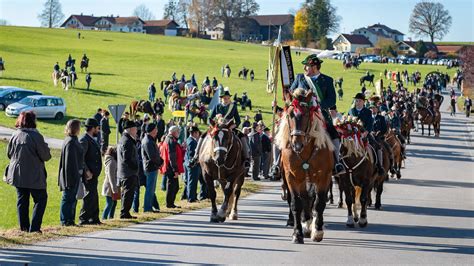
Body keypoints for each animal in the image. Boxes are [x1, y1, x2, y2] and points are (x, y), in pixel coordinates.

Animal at [276, 90, 336, 244]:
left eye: (307, 115)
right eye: (289, 114)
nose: (297, 144)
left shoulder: (324, 177)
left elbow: (319, 203)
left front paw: (318, 231)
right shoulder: (292, 177)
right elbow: (296, 203)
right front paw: (297, 234)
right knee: (304, 200)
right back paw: (305, 224)